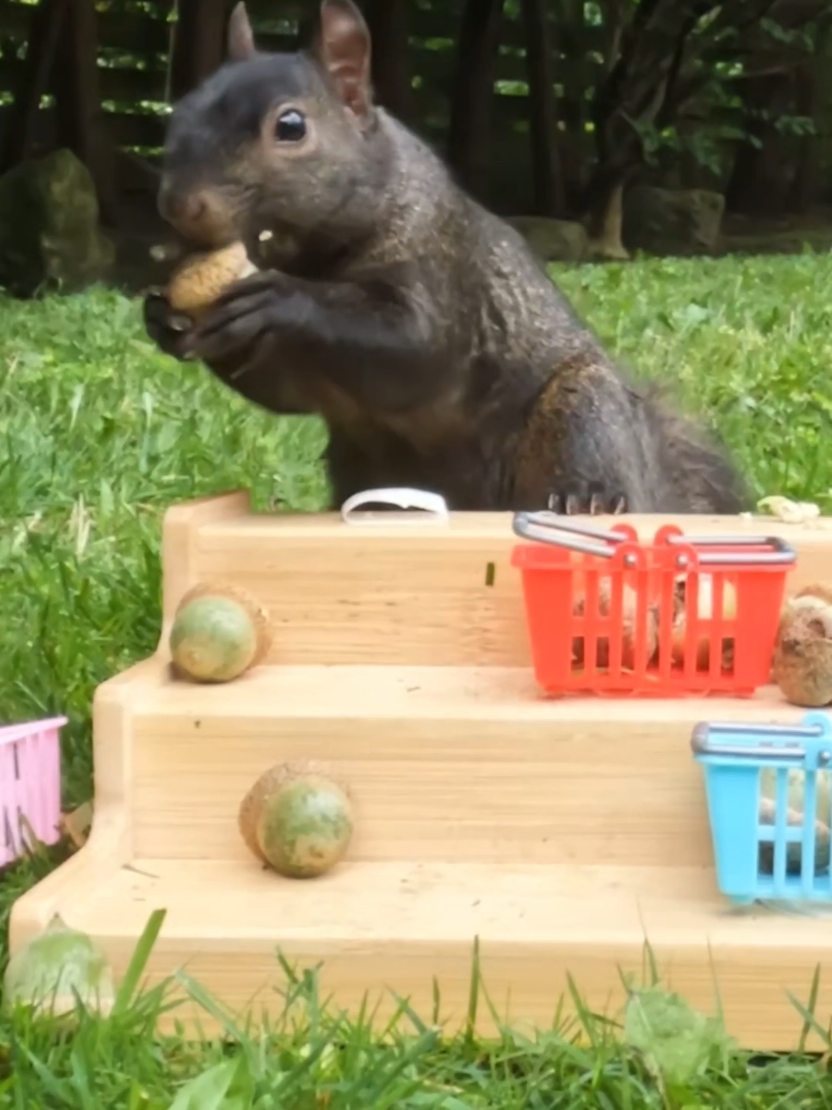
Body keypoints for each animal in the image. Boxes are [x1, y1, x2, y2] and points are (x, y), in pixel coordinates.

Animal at [143, 0, 748, 517]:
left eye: (290, 126)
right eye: (181, 110)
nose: (177, 205)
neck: (314, 256)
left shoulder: (444, 271)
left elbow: (416, 346)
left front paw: (279, 299)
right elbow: (281, 387)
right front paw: (163, 317)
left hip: (583, 414)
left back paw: (589, 500)